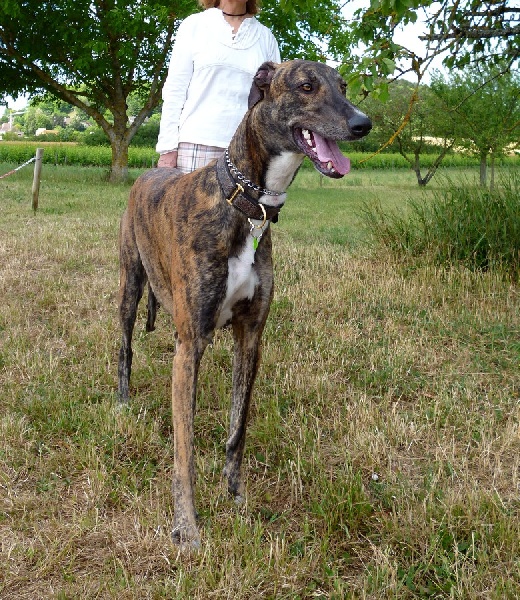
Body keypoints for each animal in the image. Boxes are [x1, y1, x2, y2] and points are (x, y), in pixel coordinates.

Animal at [118, 60, 371, 549]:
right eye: (306, 86)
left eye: (344, 86)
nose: (363, 124)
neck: (245, 203)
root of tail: (148, 174)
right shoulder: (190, 342)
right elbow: (184, 448)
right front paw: (187, 527)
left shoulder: (250, 334)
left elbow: (239, 425)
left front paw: (235, 494)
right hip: (130, 284)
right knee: (124, 344)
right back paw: (120, 399)